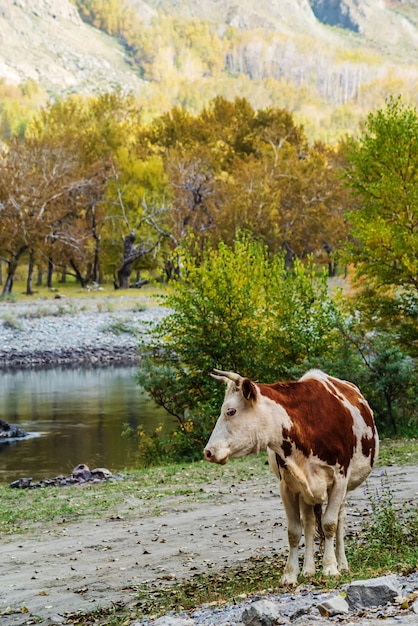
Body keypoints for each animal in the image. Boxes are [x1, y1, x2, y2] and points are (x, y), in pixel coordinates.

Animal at [203, 368, 378, 584]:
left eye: (230, 411)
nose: (208, 452)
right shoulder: (287, 485)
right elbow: (294, 531)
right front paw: (290, 574)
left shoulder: (340, 479)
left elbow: (329, 524)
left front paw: (330, 567)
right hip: (305, 492)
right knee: (309, 523)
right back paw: (309, 569)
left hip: (345, 487)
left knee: (339, 519)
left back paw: (342, 564)